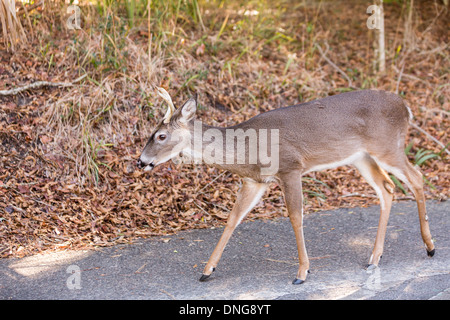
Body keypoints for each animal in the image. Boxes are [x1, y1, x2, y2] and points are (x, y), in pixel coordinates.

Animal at [136, 88, 432, 284]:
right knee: (387, 188)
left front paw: (302, 272)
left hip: (387, 146)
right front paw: (207, 270)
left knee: (416, 177)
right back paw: (374, 258)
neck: (247, 148)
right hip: (361, 156)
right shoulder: (254, 181)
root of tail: (406, 108)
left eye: (160, 136)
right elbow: (232, 219)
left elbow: (296, 217)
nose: (141, 161)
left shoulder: (290, 168)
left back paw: (429, 246)